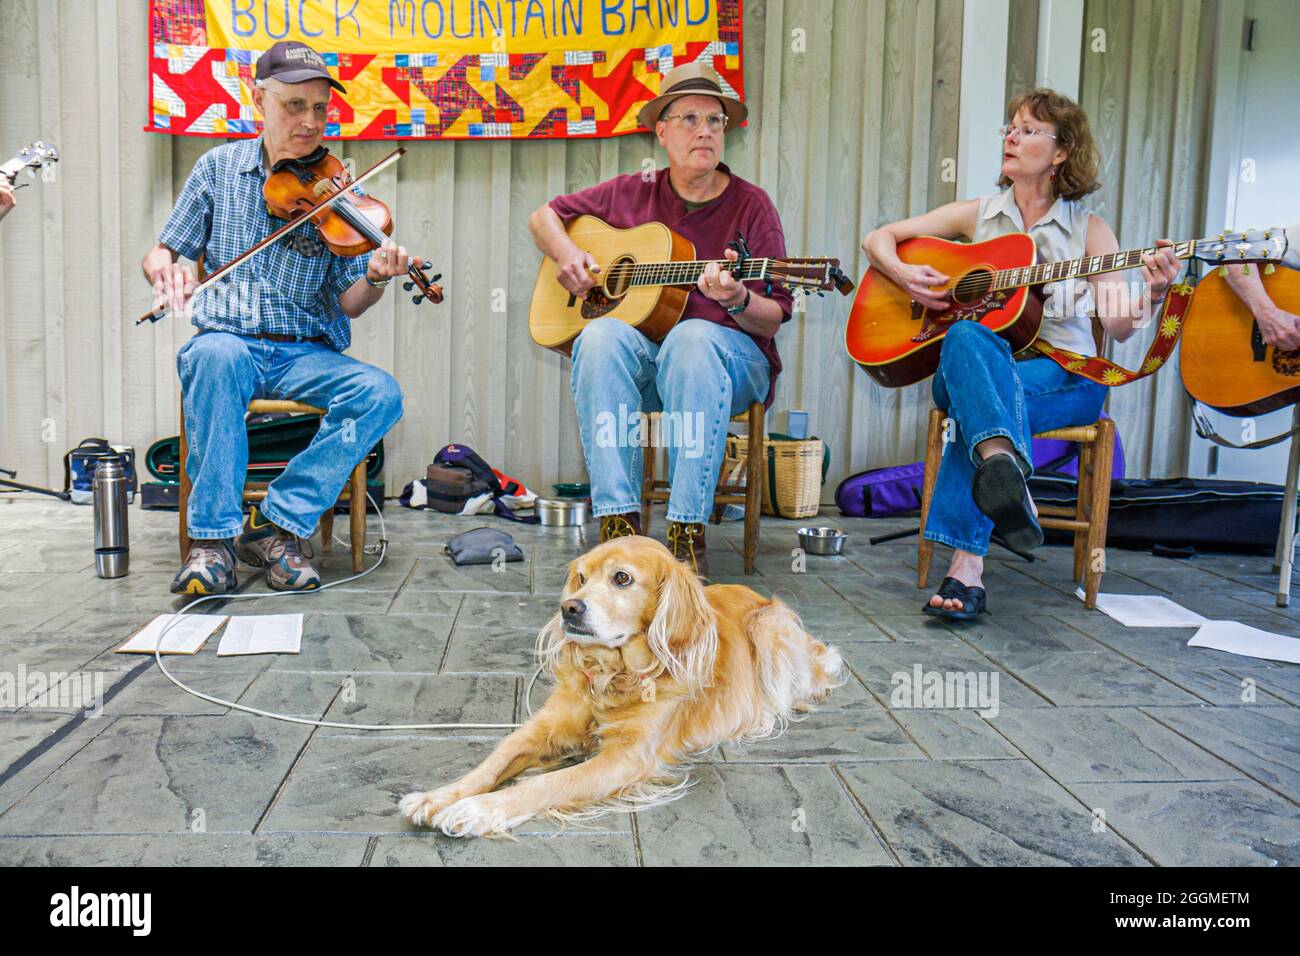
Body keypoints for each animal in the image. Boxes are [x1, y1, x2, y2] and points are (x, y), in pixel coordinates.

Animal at [397, 538, 842, 837]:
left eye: (622, 578)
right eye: (581, 577)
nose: (568, 608)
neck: (613, 676)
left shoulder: (627, 757)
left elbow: (546, 783)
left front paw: (479, 810)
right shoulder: (544, 728)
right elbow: (492, 762)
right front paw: (440, 796)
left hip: (771, 628)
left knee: (804, 686)